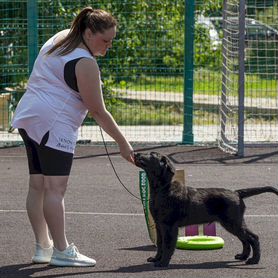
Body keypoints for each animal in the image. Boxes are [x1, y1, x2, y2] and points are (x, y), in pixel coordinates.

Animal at [135, 152, 278, 268]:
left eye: (152, 154)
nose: (136, 154)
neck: (162, 189)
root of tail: (237, 192)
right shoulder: (159, 225)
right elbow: (160, 244)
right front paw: (156, 258)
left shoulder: (169, 226)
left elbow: (167, 246)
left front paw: (162, 263)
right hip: (233, 223)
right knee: (245, 239)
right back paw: (242, 256)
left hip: (233, 222)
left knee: (253, 237)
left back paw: (254, 260)